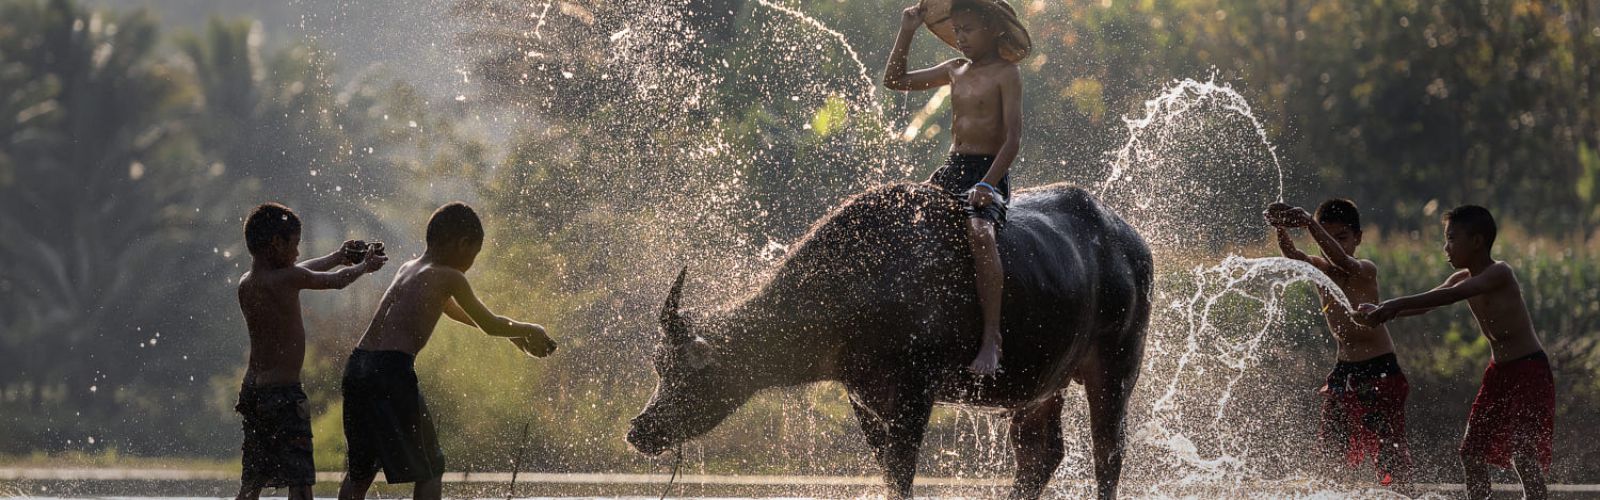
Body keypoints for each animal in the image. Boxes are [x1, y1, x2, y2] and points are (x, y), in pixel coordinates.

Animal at [624, 183, 1152, 500]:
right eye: (657, 367)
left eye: (688, 373)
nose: (639, 430)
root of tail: (1133, 242)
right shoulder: (864, 396)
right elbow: (888, 471)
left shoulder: (916, 390)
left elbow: (901, 472)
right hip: (1038, 387)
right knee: (1041, 455)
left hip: (1117, 368)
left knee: (1108, 452)